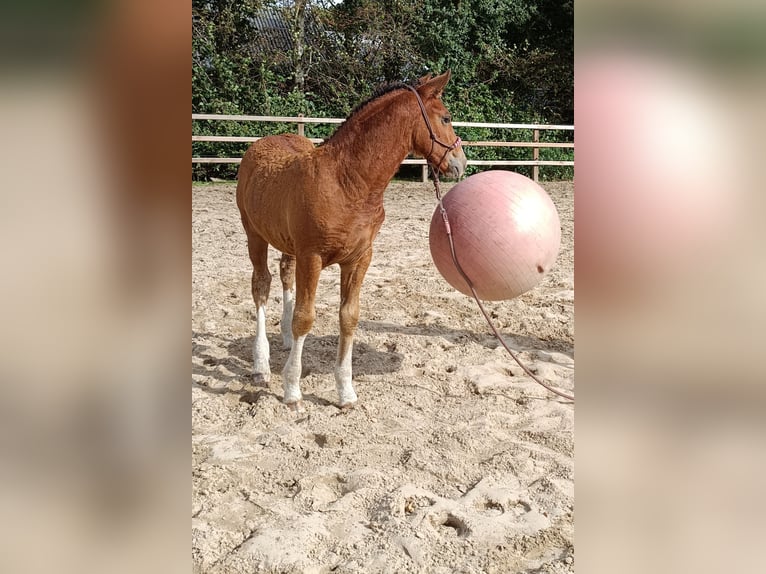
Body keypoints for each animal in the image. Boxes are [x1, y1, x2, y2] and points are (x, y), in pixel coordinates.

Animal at [236, 70, 467, 409]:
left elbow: (349, 317)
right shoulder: (312, 256)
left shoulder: (359, 258)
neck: (347, 182)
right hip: (254, 235)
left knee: (285, 275)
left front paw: (345, 391)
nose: (461, 163)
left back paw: (286, 340)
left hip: (286, 242)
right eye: (446, 118)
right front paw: (292, 389)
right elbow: (306, 317)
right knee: (261, 286)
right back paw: (261, 366)